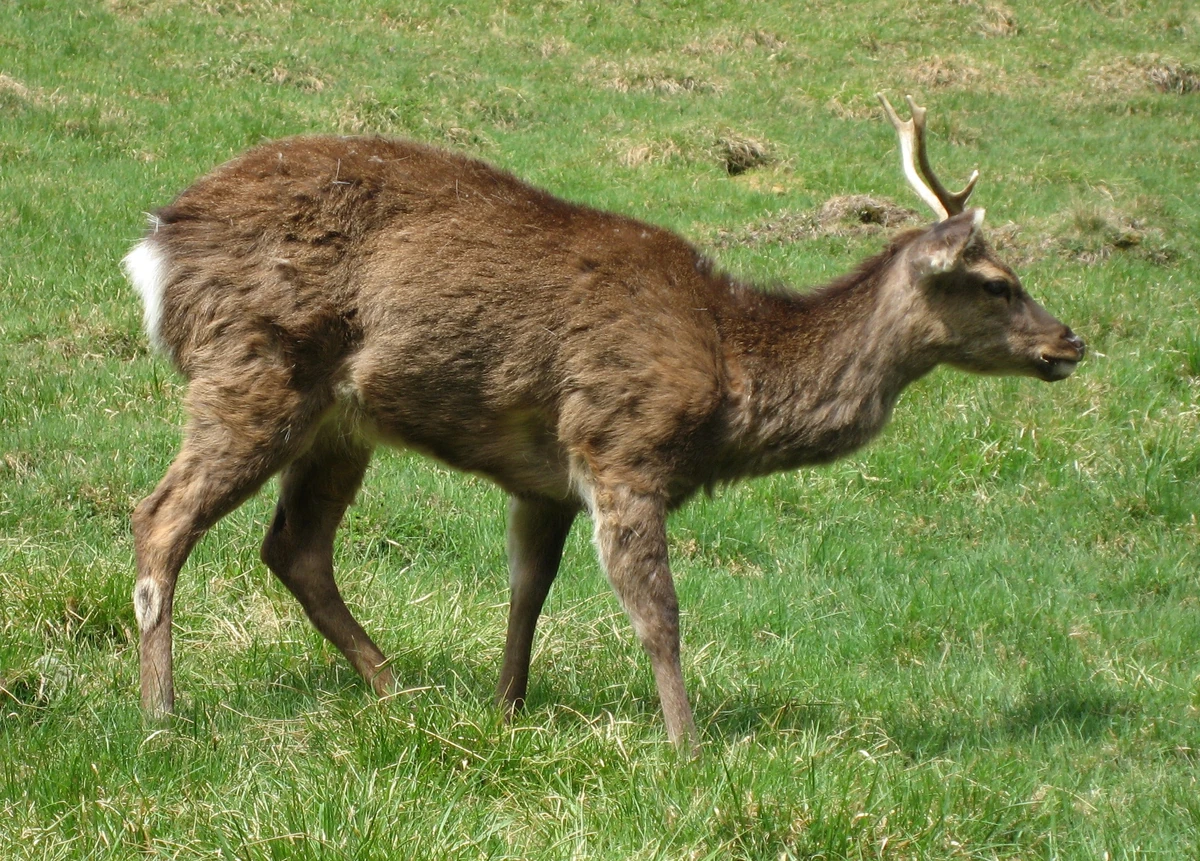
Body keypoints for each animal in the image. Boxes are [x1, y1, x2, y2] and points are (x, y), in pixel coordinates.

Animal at [123, 95, 1084, 753]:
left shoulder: (545, 480)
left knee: (295, 546)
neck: (731, 371)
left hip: (337, 422)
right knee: (160, 518)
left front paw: (506, 712)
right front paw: (688, 746)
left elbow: (528, 591)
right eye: (996, 281)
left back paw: (398, 693)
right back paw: (163, 713)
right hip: (254, 367)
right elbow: (658, 611)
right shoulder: (622, 445)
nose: (1070, 340)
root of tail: (156, 245)